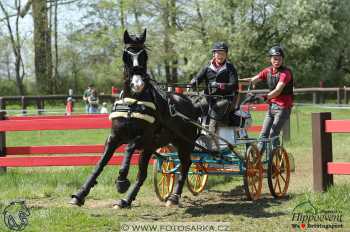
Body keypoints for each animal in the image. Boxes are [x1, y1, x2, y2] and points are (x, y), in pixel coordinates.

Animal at [69, 29, 200, 208]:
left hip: (183, 143)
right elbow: (100, 164)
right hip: (154, 147)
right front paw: (80, 194)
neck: (133, 102)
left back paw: (173, 197)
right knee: (143, 174)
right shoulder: (114, 137)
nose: (137, 84)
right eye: (126, 55)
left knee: (185, 165)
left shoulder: (142, 138)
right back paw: (126, 200)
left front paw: (122, 179)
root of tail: (191, 103)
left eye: (144, 55)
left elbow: (129, 148)